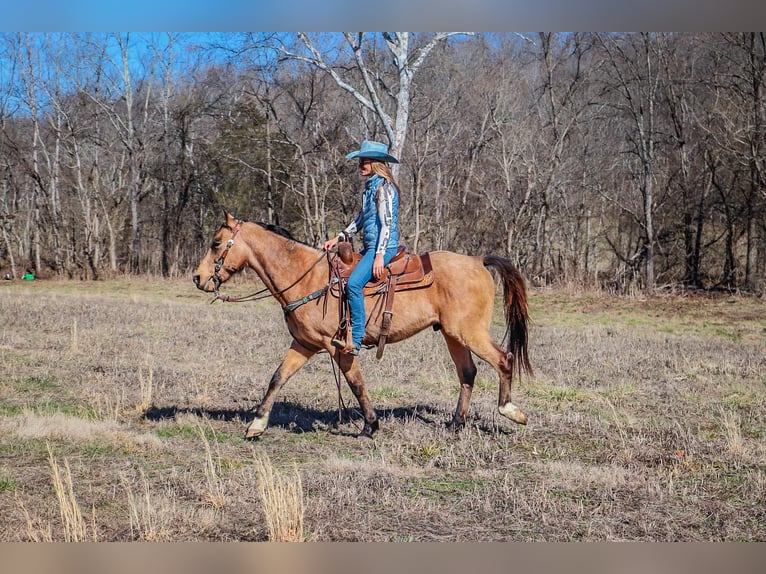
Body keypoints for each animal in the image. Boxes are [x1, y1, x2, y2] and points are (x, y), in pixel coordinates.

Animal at [194, 213, 536, 440]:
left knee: (503, 359)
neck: (307, 277)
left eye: (216, 243)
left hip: (470, 333)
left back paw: (511, 411)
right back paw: (455, 424)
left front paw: (370, 425)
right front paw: (256, 425)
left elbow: (355, 382)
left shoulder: (339, 347)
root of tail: (477, 261)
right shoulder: (304, 344)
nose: (198, 278)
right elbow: (278, 377)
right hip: (454, 335)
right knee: (467, 373)